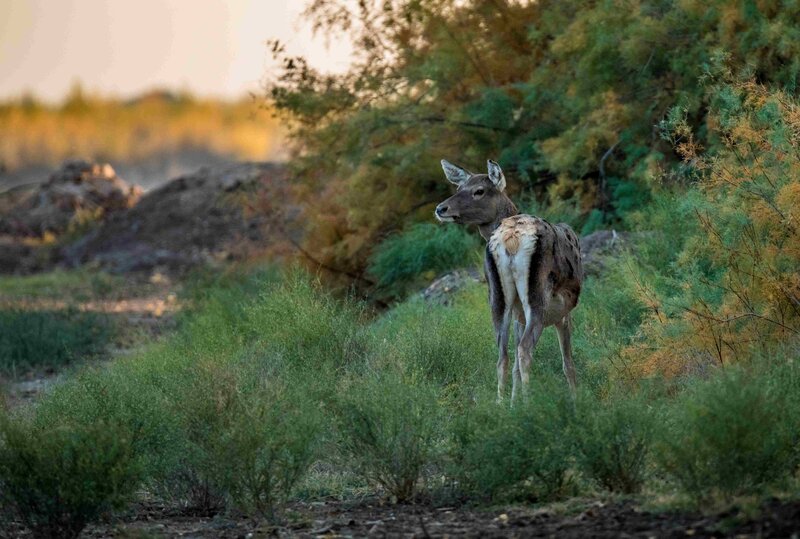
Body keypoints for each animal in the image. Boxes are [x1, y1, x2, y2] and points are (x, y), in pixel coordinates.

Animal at [435, 159, 583, 401]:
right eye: (459, 188)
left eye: (478, 190)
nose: (441, 208)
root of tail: (510, 238)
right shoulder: (563, 312)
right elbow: (567, 362)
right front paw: (576, 398)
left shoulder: (517, 314)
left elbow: (513, 364)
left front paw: (514, 402)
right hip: (537, 296)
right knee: (524, 350)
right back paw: (529, 403)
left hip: (497, 296)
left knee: (502, 356)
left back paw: (501, 403)